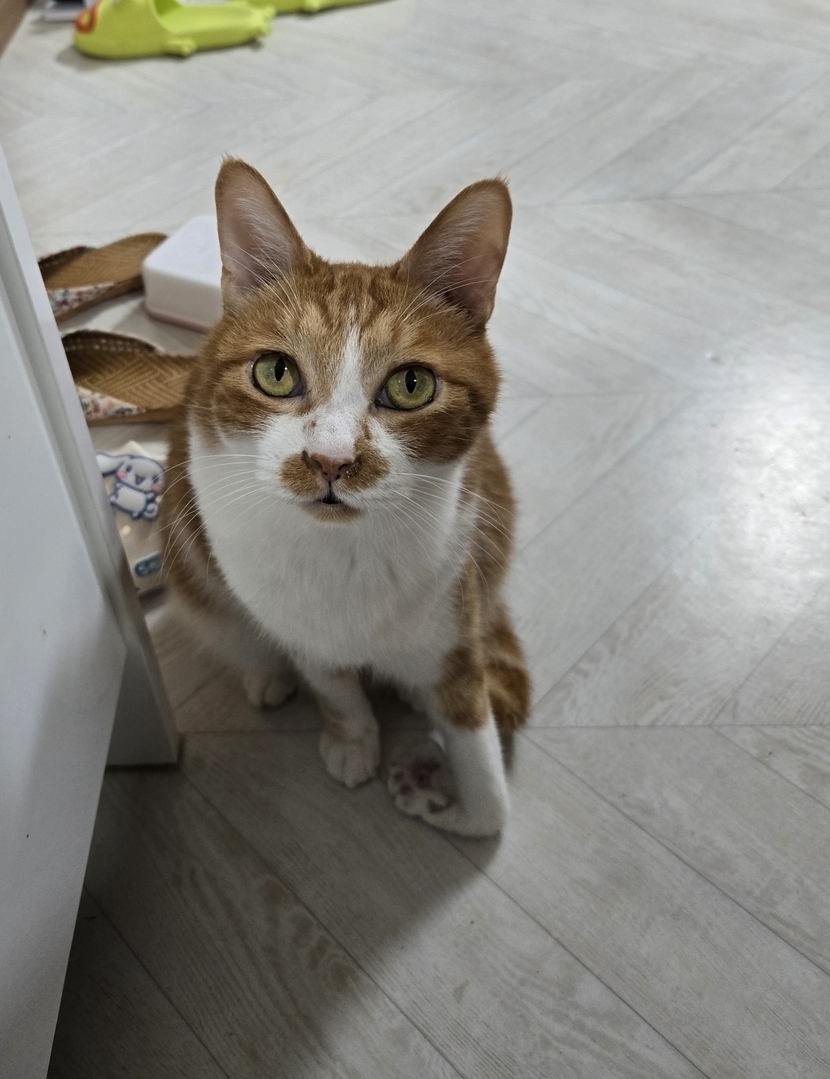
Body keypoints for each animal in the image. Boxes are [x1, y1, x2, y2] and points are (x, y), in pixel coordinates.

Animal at [161, 158, 530, 837]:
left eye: (412, 385)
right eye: (276, 372)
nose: (330, 460)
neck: (345, 555)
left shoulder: (455, 624)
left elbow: (489, 799)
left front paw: (437, 790)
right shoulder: (297, 620)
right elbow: (331, 682)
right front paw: (355, 736)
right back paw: (265, 673)